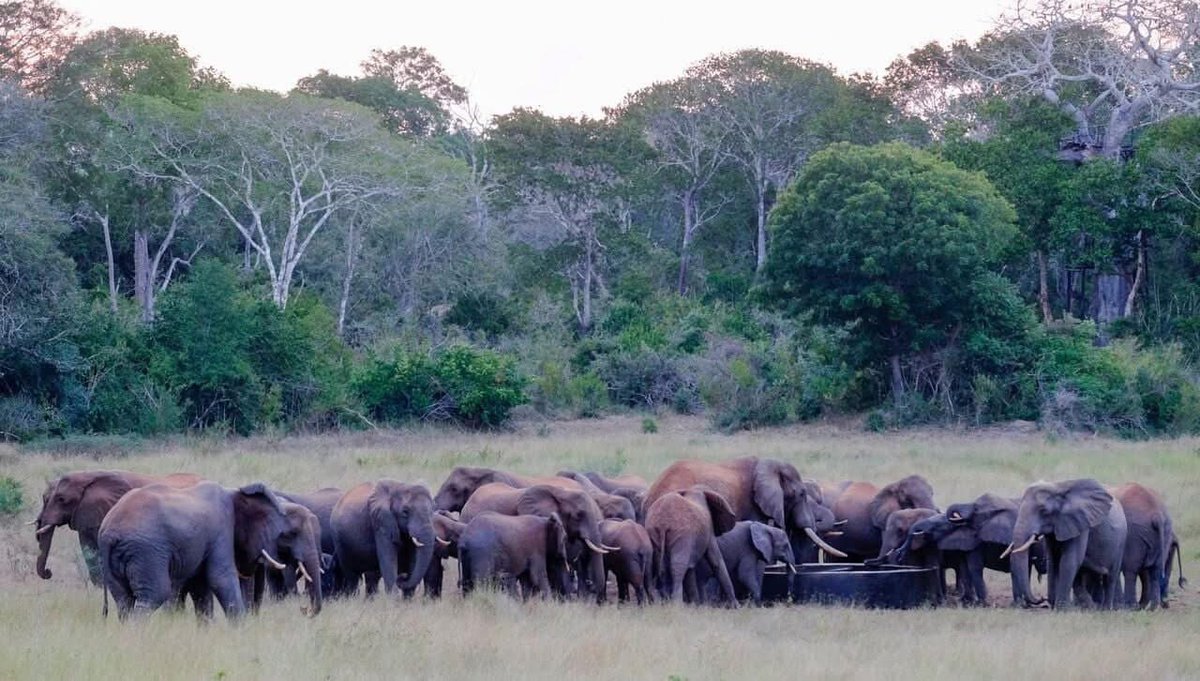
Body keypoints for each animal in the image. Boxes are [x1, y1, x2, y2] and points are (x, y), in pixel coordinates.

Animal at [98, 481, 322, 620]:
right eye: (291, 534)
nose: (305, 610)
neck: (235, 493)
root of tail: (109, 533)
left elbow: (202, 588)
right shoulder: (221, 531)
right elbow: (221, 577)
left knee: (124, 601)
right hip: (147, 552)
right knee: (154, 594)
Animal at [1005, 479, 1127, 610]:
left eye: (1043, 511)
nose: (1041, 599)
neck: (1058, 488)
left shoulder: (1080, 525)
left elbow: (1070, 561)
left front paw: (1062, 609)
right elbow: (1053, 562)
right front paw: (1055, 606)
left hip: (1120, 543)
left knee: (1110, 577)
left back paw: (1105, 609)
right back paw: (1090, 606)